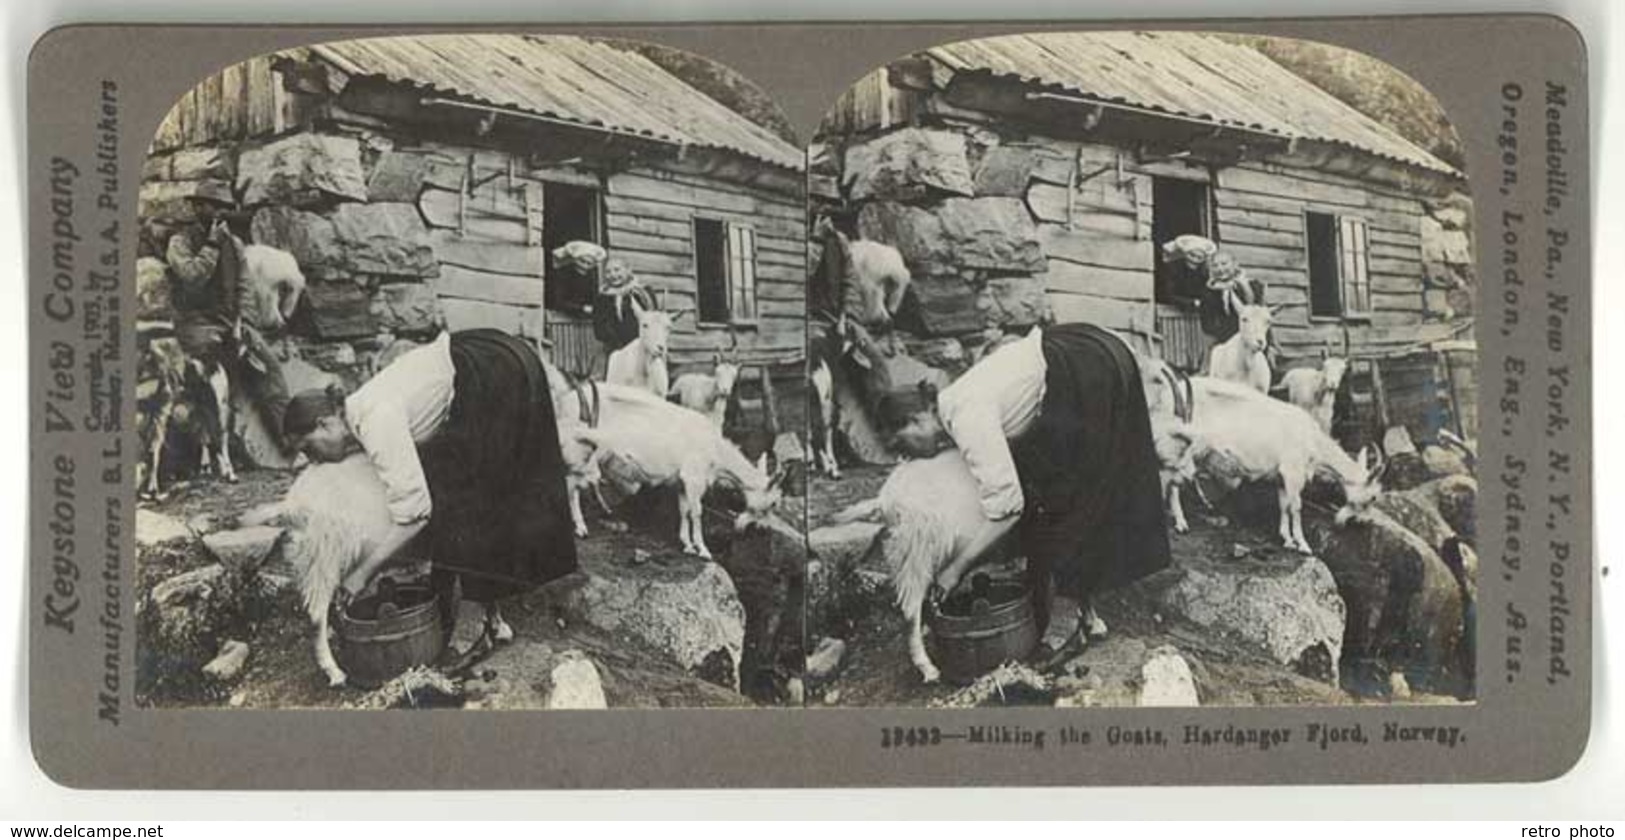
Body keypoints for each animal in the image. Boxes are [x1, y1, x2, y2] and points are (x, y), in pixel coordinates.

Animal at [562, 385, 783, 555]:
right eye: (773, 503)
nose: (763, 530)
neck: (715, 449)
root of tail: (566, 400)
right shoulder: (694, 478)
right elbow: (697, 512)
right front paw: (703, 550)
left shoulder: (682, 482)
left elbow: (684, 510)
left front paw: (687, 545)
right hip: (583, 454)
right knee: (572, 486)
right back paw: (581, 527)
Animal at [1170, 376, 1384, 552]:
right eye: (1373, 497)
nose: (1364, 522)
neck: (1311, 438)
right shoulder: (1293, 472)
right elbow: (1296, 507)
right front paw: (1303, 544)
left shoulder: (1281, 477)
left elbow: (1284, 505)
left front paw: (1287, 539)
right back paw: (1181, 523)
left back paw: (1204, 504)